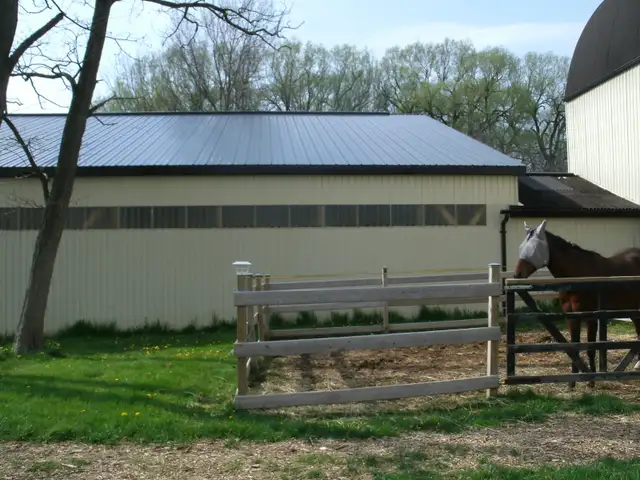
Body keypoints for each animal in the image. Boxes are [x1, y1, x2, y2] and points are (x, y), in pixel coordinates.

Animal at [513, 219, 640, 389]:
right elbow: (574, 348)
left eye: (533, 249)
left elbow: (591, 349)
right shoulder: (571, 317)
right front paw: (572, 382)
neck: (577, 275)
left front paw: (592, 381)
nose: (517, 274)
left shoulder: (590, 317)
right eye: (521, 247)